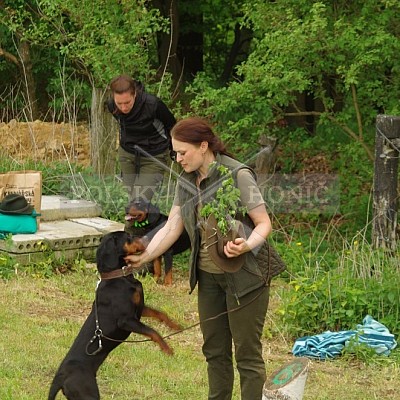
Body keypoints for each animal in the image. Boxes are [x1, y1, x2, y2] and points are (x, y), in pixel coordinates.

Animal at [47, 231, 183, 400]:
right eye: (128, 237)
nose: (146, 239)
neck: (119, 277)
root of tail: (60, 377)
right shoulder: (126, 320)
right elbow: (153, 332)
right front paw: (167, 349)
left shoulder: (139, 309)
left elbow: (160, 313)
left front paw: (175, 326)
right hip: (88, 393)